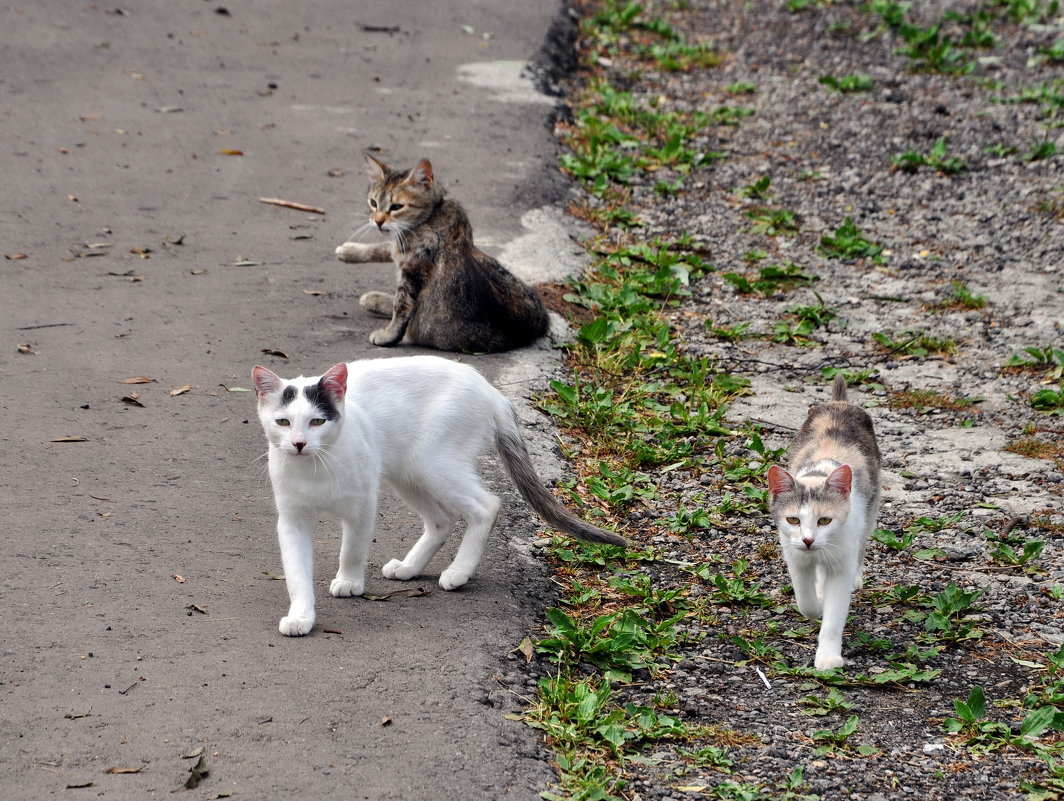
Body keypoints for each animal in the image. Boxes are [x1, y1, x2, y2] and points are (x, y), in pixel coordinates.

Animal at [253, 355, 625, 638]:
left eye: (317, 422)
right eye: (283, 422)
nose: (299, 443)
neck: (314, 467)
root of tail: (488, 388)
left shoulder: (363, 505)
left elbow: (352, 549)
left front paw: (348, 581)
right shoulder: (292, 520)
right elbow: (296, 573)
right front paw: (301, 616)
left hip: (432, 465)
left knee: (487, 506)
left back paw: (458, 572)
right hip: (409, 473)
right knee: (442, 519)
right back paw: (409, 567)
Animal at [331, 155, 549, 353]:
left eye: (396, 207)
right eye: (373, 202)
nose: (377, 221)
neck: (432, 214)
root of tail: (543, 324)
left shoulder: (414, 269)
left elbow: (401, 306)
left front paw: (388, 335)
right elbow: (385, 248)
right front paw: (351, 251)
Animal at [766, 374, 880, 668]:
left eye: (825, 520)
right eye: (793, 519)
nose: (808, 539)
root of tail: (839, 402)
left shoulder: (841, 562)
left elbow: (833, 617)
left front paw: (828, 657)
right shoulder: (794, 555)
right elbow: (805, 601)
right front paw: (816, 605)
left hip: (870, 512)